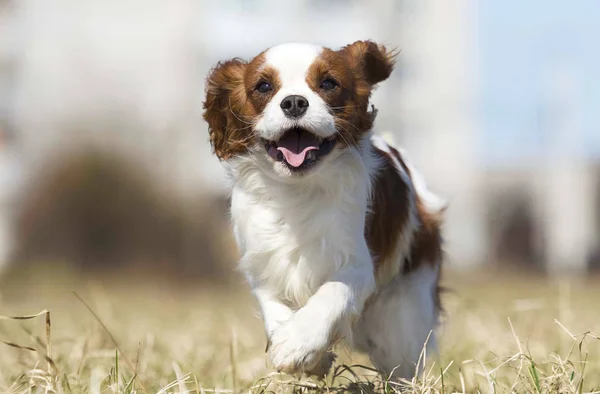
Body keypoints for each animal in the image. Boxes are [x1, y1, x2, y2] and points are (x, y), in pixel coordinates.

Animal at [204, 40, 442, 378]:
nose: (293, 102)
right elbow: (273, 305)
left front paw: (297, 343)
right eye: (263, 87)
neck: (299, 190)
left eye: (328, 83)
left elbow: (333, 293)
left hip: (401, 321)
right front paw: (303, 351)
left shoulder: (356, 263)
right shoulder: (265, 263)